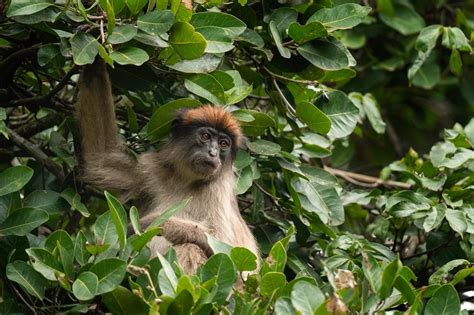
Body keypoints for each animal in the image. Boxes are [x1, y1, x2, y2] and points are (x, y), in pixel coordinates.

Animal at [76, 59, 260, 274]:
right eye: (206, 136)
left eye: (223, 144)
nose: (213, 153)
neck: (187, 181)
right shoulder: (151, 169)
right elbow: (99, 160)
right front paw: (97, 60)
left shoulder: (219, 188)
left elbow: (229, 251)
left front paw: (147, 224)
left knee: (190, 246)